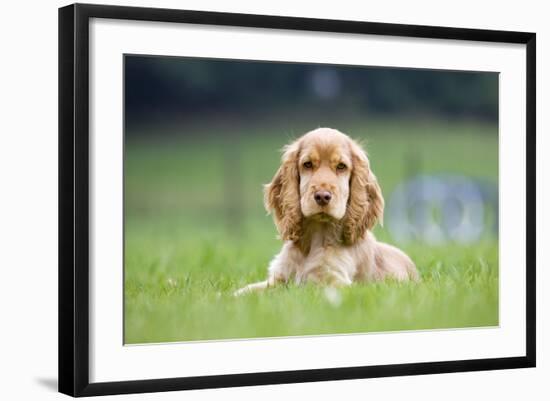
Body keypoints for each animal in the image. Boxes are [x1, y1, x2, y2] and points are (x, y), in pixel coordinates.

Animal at [235, 126, 420, 296]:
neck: (317, 237)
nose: (322, 196)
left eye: (341, 166)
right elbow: (246, 290)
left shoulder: (333, 280)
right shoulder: (278, 279)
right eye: (307, 164)